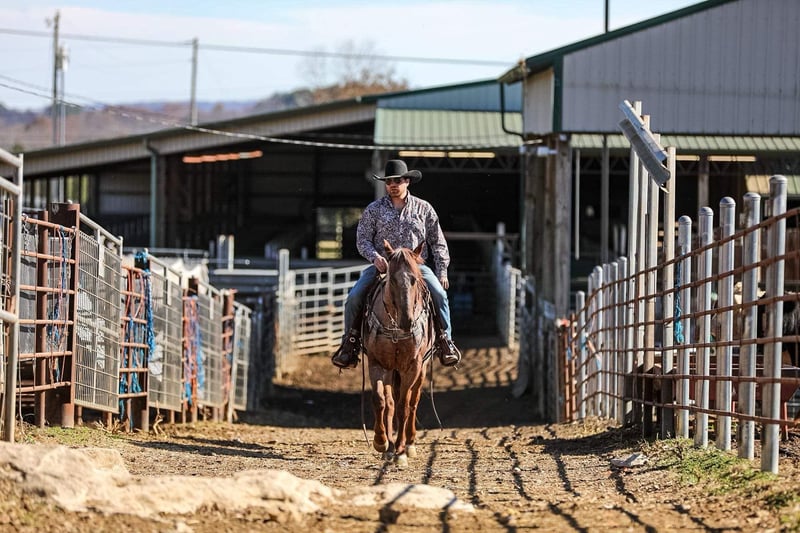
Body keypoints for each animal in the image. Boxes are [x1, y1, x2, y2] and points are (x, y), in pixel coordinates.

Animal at [361, 240, 436, 467]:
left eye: (414, 279)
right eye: (392, 280)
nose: (406, 321)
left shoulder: (412, 367)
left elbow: (404, 406)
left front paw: (401, 452)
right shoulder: (377, 363)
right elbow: (381, 400)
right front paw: (381, 442)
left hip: (421, 369)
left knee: (413, 402)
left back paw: (409, 444)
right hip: (391, 371)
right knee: (390, 401)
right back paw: (389, 447)